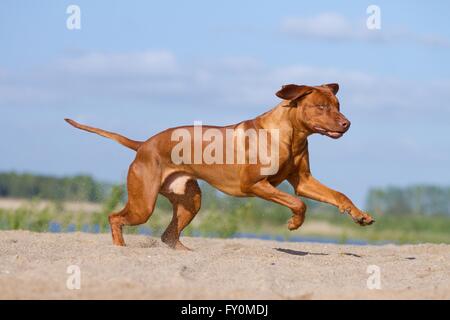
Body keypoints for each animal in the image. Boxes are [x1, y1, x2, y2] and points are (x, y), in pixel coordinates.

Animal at [66, 82, 372, 250]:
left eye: (338, 104)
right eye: (321, 107)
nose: (347, 123)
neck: (291, 135)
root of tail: (143, 145)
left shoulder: (304, 181)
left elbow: (338, 195)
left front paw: (359, 215)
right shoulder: (255, 184)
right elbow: (299, 204)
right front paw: (295, 223)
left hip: (190, 200)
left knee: (168, 235)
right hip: (144, 203)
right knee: (115, 218)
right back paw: (120, 248)